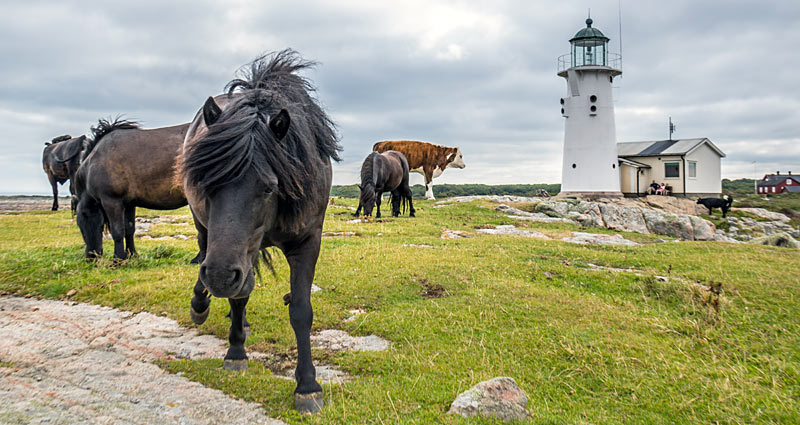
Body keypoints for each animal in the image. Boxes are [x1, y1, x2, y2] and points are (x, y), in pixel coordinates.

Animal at [75, 117, 194, 260]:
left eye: (82, 218)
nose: (90, 256)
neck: (95, 162)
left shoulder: (112, 202)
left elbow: (117, 231)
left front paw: (118, 259)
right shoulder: (129, 204)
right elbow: (129, 229)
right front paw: (132, 254)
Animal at [180, 48, 342, 410]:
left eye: (269, 187)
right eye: (205, 182)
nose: (219, 276)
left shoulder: (307, 241)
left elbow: (301, 310)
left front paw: (307, 386)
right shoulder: (232, 252)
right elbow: (239, 294)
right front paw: (236, 353)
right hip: (207, 233)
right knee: (206, 259)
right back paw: (201, 305)